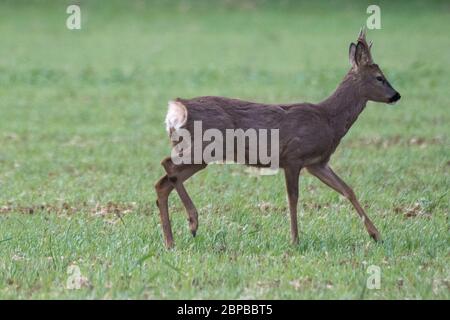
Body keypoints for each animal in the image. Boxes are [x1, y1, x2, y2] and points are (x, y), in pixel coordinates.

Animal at [155, 28, 400, 249]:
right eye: (380, 78)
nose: (396, 95)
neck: (329, 119)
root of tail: (176, 109)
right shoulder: (293, 156)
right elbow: (293, 198)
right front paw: (295, 240)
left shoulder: (317, 163)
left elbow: (347, 189)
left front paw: (376, 235)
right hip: (205, 147)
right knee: (167, 165)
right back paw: (192, 221)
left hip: (199, 153)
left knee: (162, 184)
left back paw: (170, 242)